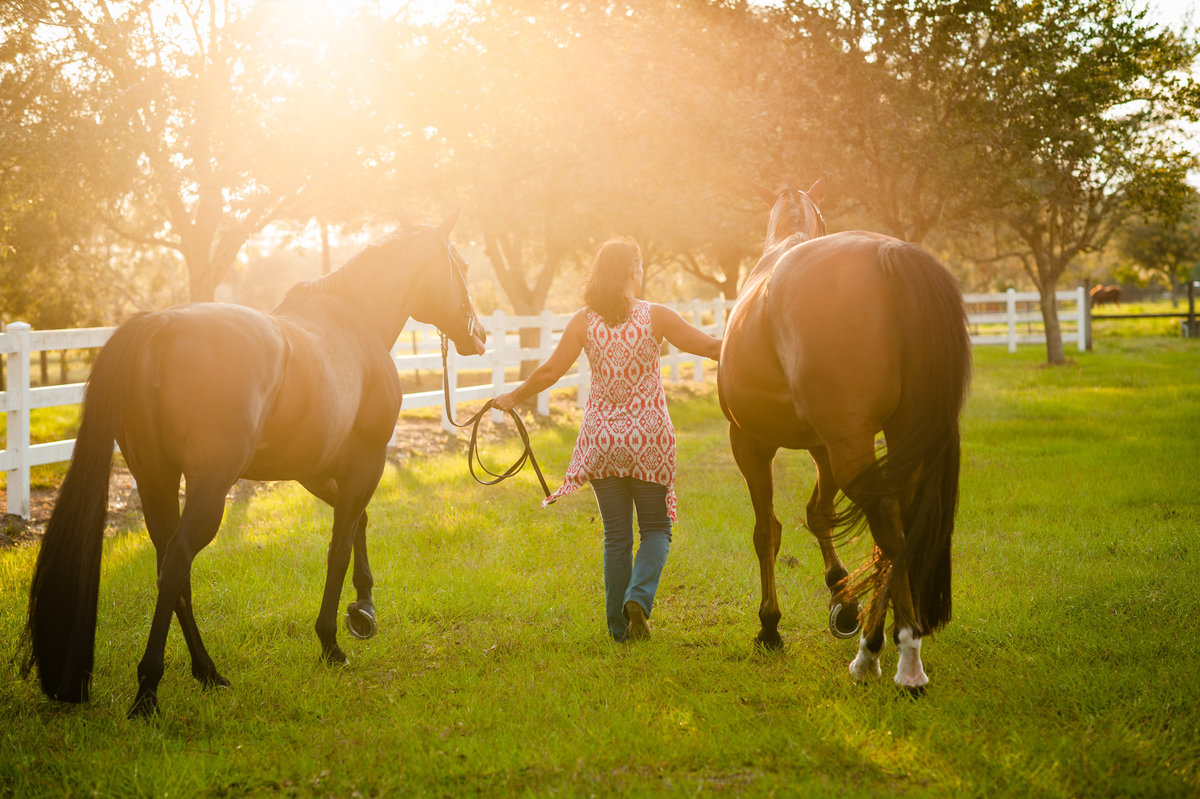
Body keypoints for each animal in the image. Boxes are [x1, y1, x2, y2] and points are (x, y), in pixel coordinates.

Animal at [23, 218, 484, 715]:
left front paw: (363, 611)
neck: (354, 323)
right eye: (462, 266)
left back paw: (208, 673)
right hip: (208, 488)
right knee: (177, 562)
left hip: (156, 482)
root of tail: (158, 326)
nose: (477, 336)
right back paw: (148, 691)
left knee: (171, 566)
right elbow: (339, 546)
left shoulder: (314, 469)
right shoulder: (367, 458)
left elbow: (358, 522)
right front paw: (333, 639)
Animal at [715, 176, 969, 691]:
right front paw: (842, 597)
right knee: (900, 521)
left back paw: (894, 656)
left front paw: (770, 625)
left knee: (888, 522)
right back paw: (879, 640)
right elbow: (819, 514)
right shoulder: (822, 444)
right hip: (892, 438)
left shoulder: (750, 443)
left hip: (847, 447)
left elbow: (766, 532)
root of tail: (891, 255)